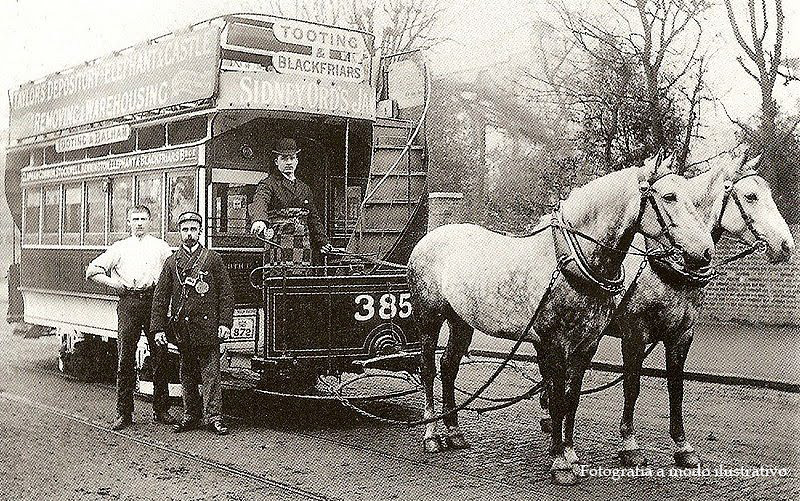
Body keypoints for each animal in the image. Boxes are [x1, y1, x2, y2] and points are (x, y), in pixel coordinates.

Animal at [406, 153, 712, 484]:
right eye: (669, 197)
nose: (705, 252)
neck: (573, 261)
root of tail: (429, 237)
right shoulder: (556, 344)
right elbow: (556, 399)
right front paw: (559, 462)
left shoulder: (587, 345)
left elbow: (572, 398)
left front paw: (571, 454)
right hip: (428, 319)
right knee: (428, 370)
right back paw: (431, 434)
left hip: (461, 321)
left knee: (448, 367)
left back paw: (454, 431)